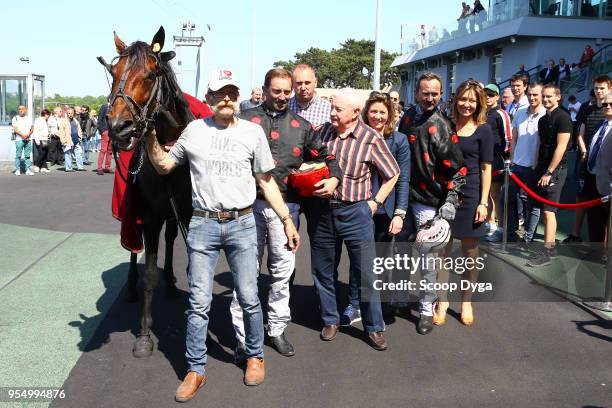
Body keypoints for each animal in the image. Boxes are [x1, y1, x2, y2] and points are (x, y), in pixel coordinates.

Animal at [99, 26, 194, 356]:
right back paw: (130, 286)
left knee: (170, 239)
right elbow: (149, 273)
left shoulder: (187, 213)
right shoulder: (150, 216)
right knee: (133, 248)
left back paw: (171, 281)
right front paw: (143, 335)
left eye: (151, 75)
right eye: (113, 72)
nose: (118, 127)